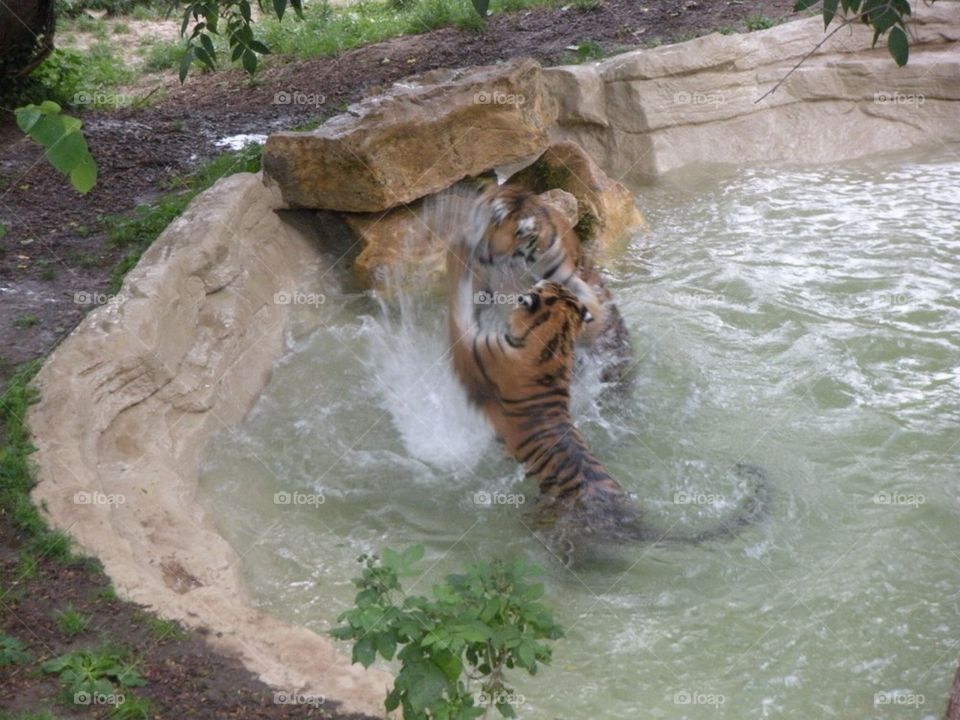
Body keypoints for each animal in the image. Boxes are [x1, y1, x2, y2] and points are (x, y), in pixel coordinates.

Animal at [447, 223, 769, 554]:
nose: (542, 274)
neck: (555, 339)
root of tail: (629, 518)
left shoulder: (472, 355)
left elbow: (458, 307)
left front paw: (458, 251)